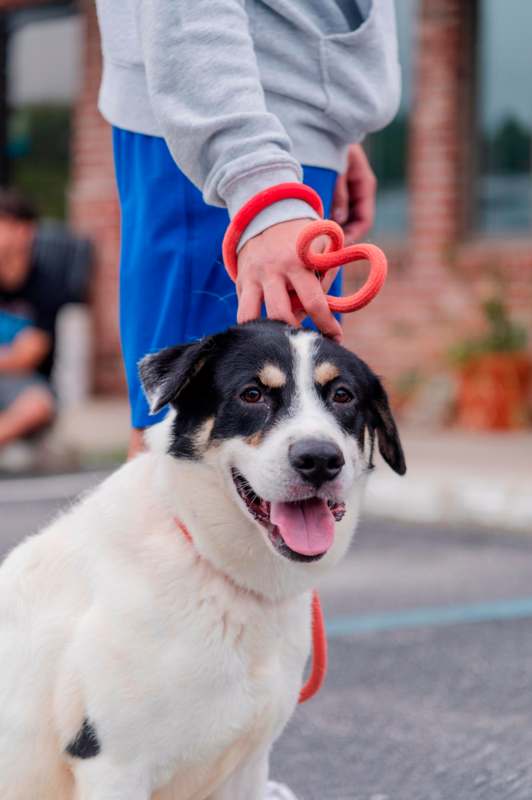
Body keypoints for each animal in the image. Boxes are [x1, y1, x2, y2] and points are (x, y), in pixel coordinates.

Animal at [0, 318, 404, 800]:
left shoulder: (248, 766)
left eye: (342, 395)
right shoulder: (114, 766)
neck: (212, 564)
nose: (320, 459)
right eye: (253, 394)